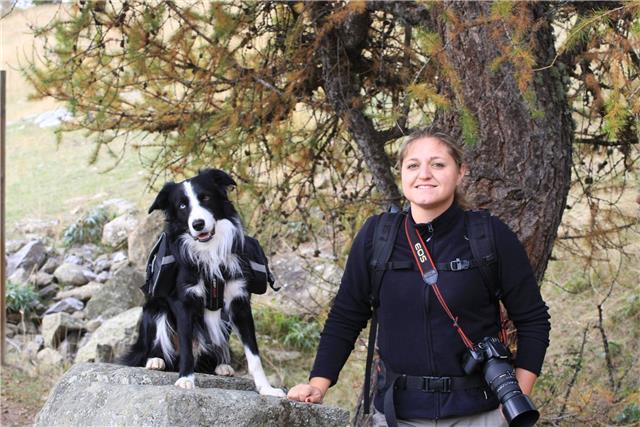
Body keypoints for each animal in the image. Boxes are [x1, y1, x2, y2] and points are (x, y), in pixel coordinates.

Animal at [122, 168, 284, 398]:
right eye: (182, 205)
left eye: (205, 197)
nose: (198, 224)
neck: (209, 253)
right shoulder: (183, 304)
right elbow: (187, 348)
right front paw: (185, 380)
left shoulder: (240, 304)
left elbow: (254, 355)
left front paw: (266, 388)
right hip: (155, 308)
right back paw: (155, 360)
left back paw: (222, 365)